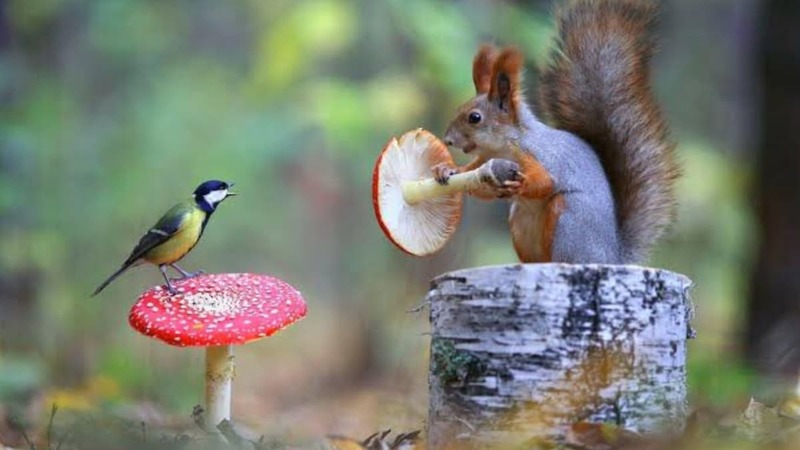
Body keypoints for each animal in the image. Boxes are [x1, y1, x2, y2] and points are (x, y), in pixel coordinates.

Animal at [434, 0, 680, 264]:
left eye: (475, 118)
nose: (448, 140)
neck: (504, 145)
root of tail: (609, 257)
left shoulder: (539, 155)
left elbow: (546, 181)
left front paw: (523, 185)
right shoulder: (486, 162)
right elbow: (476, 182)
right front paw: (447, 169)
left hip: (567, 220)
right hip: (521, 222)